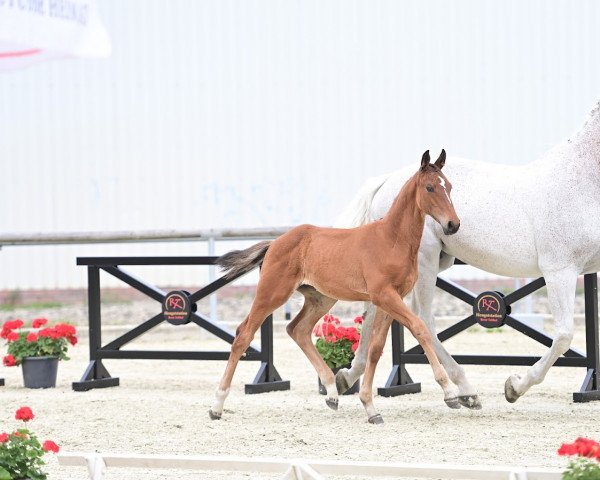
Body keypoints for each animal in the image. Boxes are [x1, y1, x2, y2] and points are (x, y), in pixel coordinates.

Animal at [209, 150, 462, 424]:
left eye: (449, 186)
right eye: (429, 188)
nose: (453, 224)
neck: (392, 240)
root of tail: (274, 243)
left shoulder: (392, 298)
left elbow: (375, 348)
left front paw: (370, 407)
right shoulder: (384, 295)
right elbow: (419, 328)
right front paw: (450, 394)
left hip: (321, 298)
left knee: (297, 330)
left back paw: (331, 392)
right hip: (272, 293)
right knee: (243, 335)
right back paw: (217, 405)